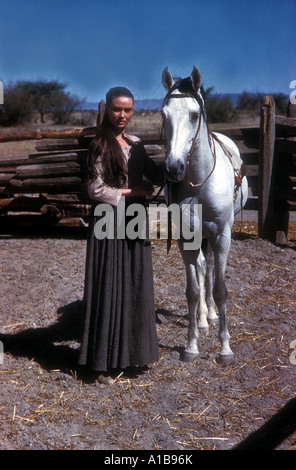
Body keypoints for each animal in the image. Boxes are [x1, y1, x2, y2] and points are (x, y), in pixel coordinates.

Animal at [162, 67, 247, 364]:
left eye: (194, 114)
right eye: (164, 114)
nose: (173, 168)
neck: (200, 183)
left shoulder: (222, 236)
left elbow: (221, 290)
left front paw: (225, 348)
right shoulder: (186, 239)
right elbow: (192, 291)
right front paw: (191, 345)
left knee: (209, 267)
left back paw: (210, 315)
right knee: (201, 267)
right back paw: (201, 320)